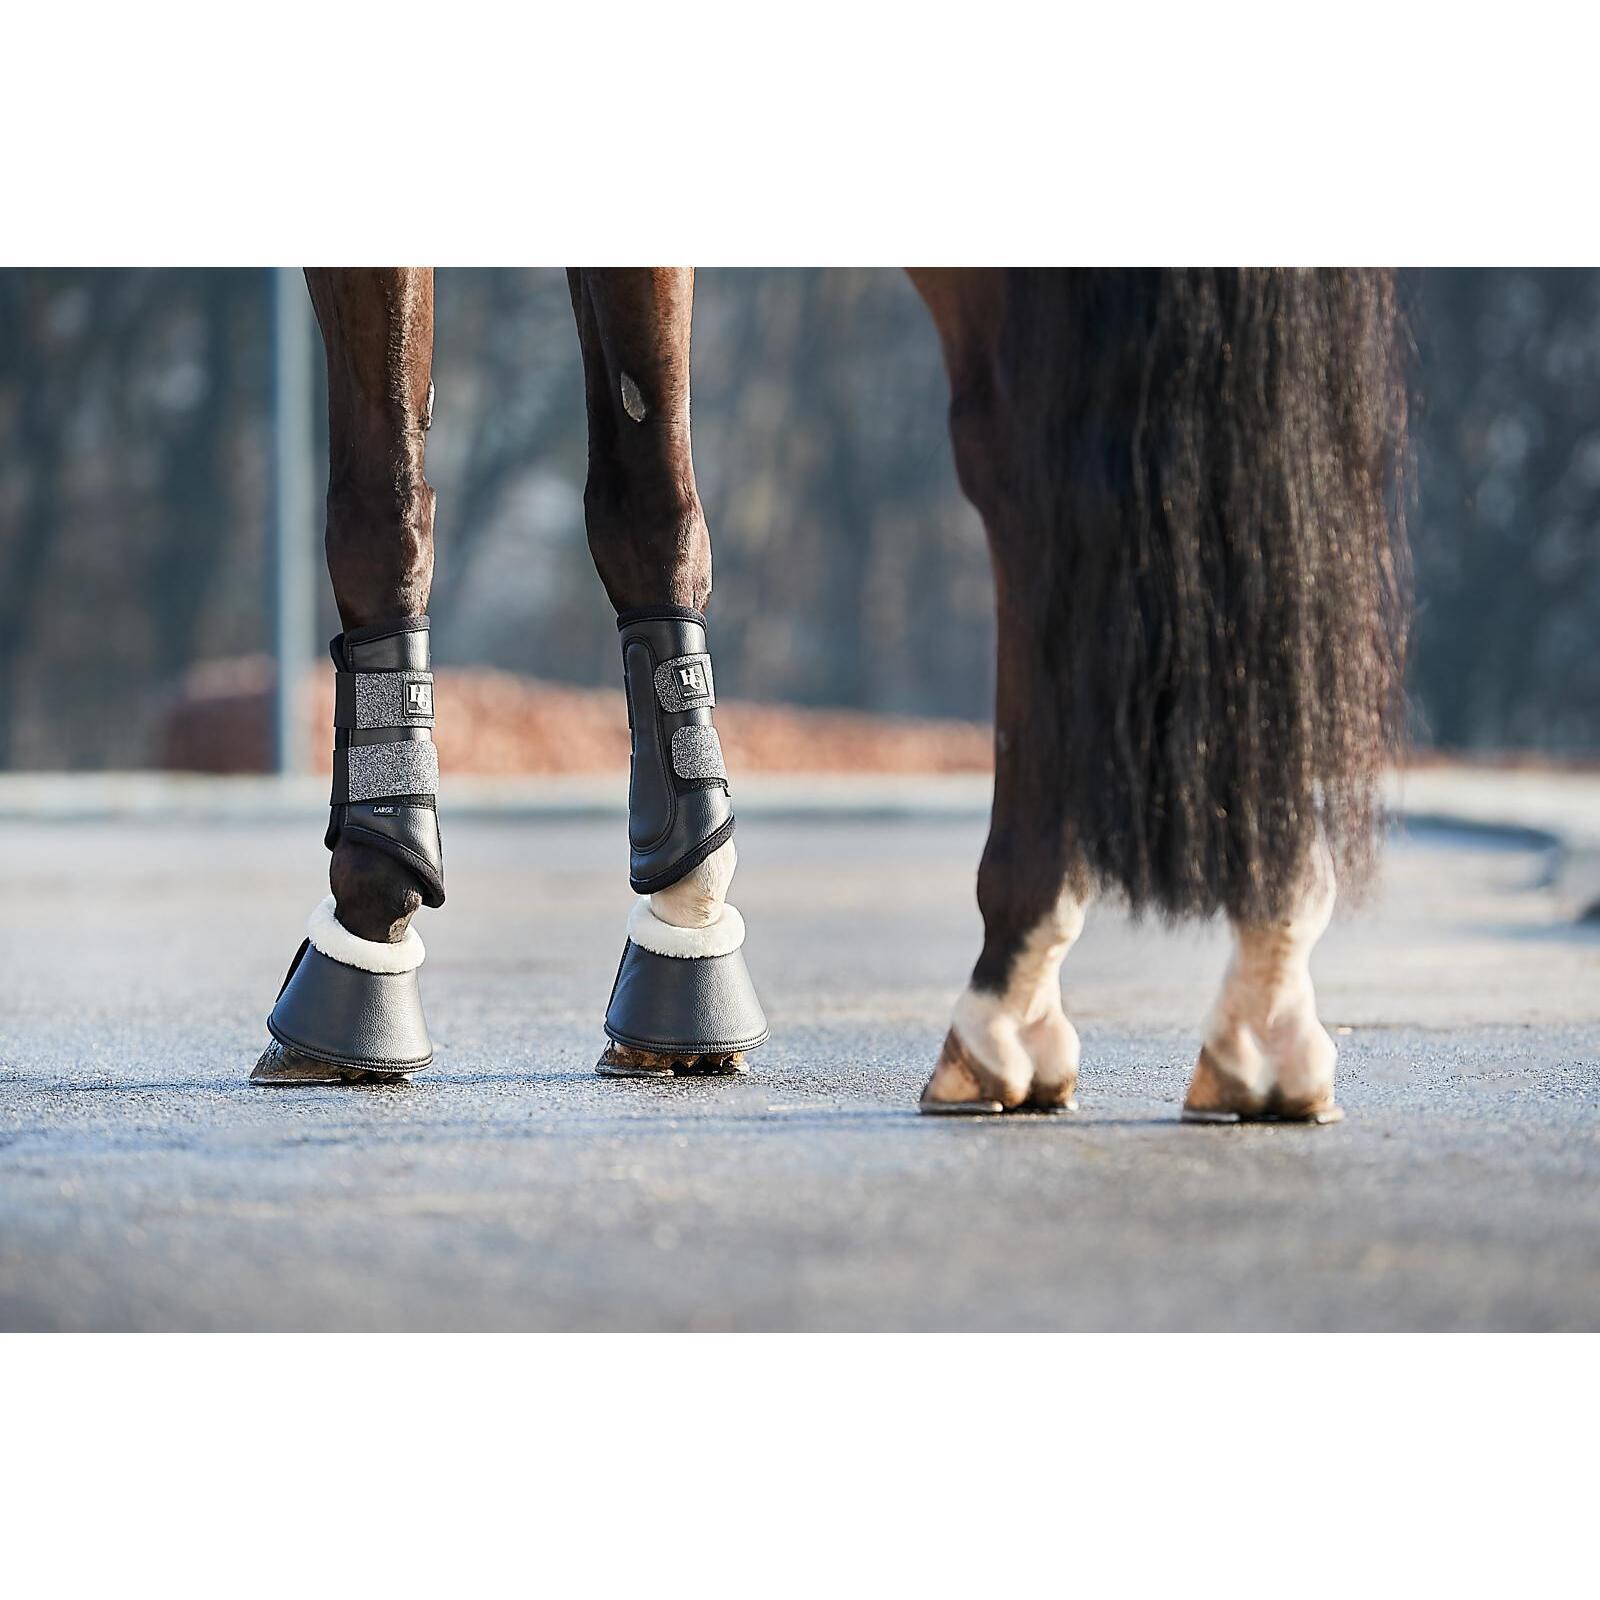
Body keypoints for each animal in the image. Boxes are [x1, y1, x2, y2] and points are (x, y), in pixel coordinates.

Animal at [253, 267, 1409, 1123]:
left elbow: (382, 500)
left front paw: (368, 918)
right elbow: (649, 497)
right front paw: (687, 927)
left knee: (1037, 473)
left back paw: (1005, 999)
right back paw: (1258, 1003)